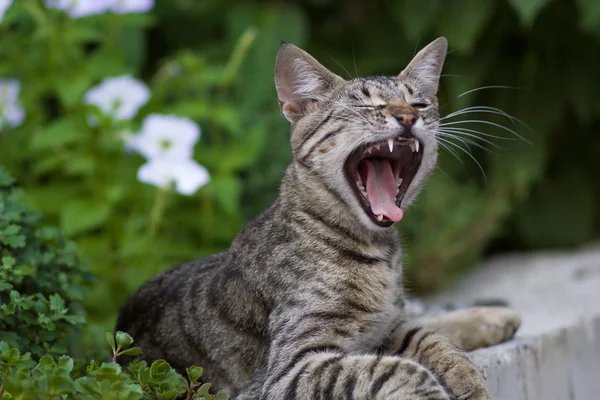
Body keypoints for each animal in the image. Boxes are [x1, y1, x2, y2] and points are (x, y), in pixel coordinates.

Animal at [116, 36, 520, 396]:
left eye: (419, 104)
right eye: (363, 107)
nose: (407, 116)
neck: (378, 253)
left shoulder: (386, 327)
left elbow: (427, 335)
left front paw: (464, 373)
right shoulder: (293, 366)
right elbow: (397, 368)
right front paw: (437, 388)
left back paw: (492, 317)